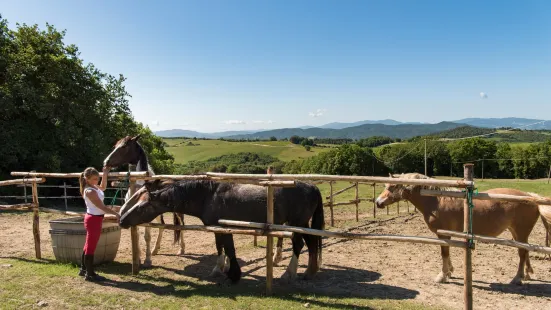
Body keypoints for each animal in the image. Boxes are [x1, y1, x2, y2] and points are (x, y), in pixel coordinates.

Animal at [104, 134, 188, 268]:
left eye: (124, 146)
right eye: (115, 145)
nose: (106, 162)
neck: (139, 185)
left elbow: (146, 236)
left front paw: (147, 260)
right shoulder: (132, 215)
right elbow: (137, 235)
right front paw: (138, 259)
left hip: (178, 213)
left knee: (182, 226)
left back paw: (181, 249)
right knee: (162, 225)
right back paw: (155, 250)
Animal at [117, 179, 324, 284]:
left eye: (143, 206)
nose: (121, 220)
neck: (209, 195)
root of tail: (312, 186)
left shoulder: (223, 228)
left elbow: (229, 249)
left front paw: (233, 274)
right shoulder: (218, 229)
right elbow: (221, 248)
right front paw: (220, 269)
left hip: (297, 223)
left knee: (299, 244)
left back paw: (290, 273)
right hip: (303, 224)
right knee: (312, 243)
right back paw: (310, 272)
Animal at [376, 173, 551, 284]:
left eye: (392, 187)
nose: (378, 202)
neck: (437, 200)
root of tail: (531, 197)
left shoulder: (443, 234)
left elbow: (444, 253)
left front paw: (442, 276)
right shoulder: (446, 235)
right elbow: (447, 253)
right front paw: (450, 272)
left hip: (520, 232)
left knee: (522, 253)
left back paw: (517, 278)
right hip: (517, 233)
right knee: (525, 251)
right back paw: (526, 275)